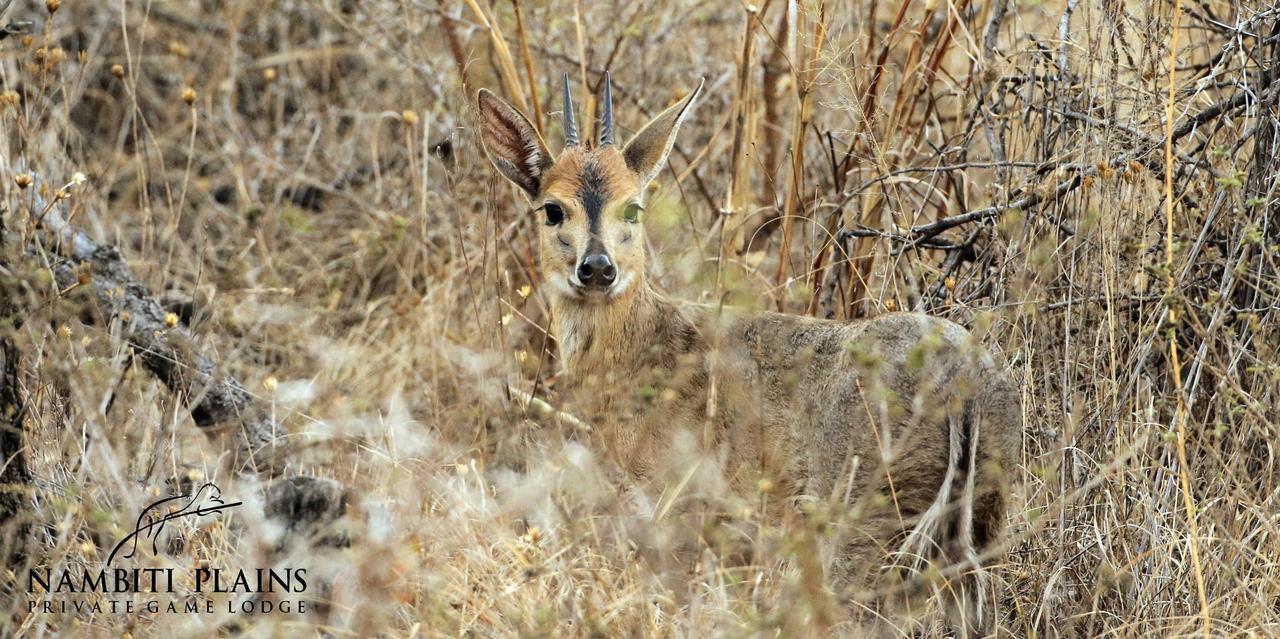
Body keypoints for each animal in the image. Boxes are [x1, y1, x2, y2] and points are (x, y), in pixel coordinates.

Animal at [476, 74, 1024, 635]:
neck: (644, 351)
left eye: (632, 206)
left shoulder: (684, 508)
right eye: (552, 209)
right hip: (977, 530)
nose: (597, 268)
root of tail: (961, 379)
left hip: (869, 526)